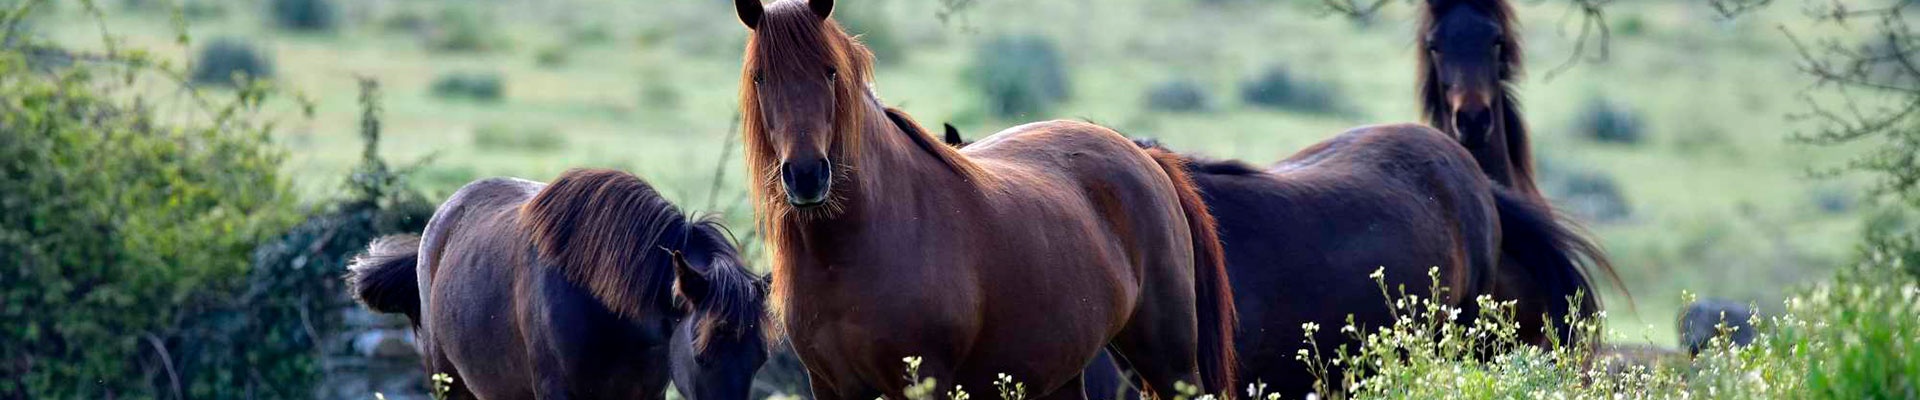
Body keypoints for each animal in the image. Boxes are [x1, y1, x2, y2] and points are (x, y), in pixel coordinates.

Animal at [732, 1, 1237, 398]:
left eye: (830, 70)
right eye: (760, 78)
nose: (806, 176)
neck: (848, 249)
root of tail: (1144, 156)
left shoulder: (926, 381)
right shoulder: (831, 386)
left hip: (1170, 362)